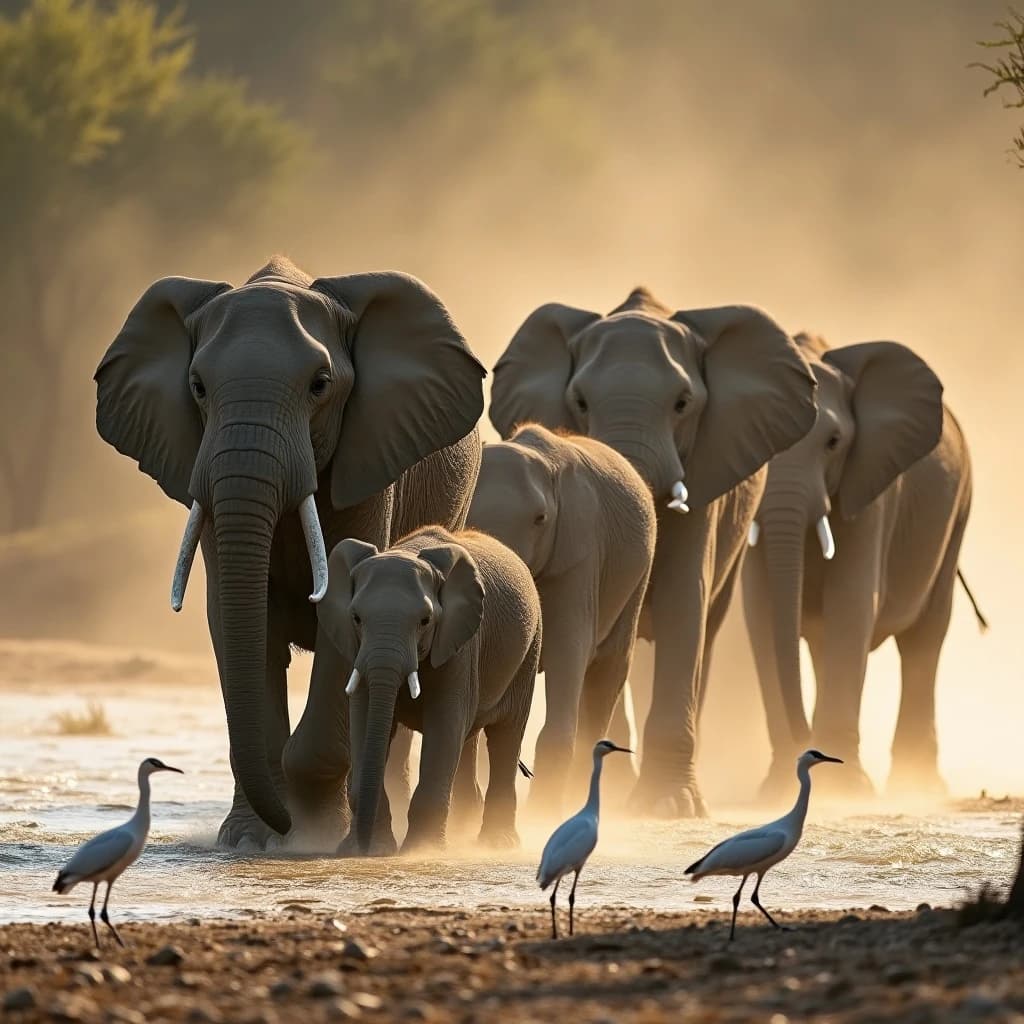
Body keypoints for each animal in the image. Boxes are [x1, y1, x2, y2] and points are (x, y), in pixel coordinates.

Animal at [95, 256, 485, 849]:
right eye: (197, 387)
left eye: (320, 386)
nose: (280, 824)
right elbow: (239, 622)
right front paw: (251, 841)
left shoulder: (371, 459)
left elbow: (339, 620)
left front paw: (315, 832)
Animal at [311, 526, 542, 854]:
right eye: (356, 618)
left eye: (425, 621)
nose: (362, 847)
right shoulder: (356, 650)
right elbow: (365, 717)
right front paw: (370, 850)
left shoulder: (461, 643)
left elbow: (444, 723)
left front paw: (421, 851)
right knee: (470, 737)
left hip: (529, 650)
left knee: (506, 736)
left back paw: (498, 843)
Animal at [466, 423, 656, 815]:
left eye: (540, 520)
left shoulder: (579, 552)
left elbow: (569, 655)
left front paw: (544, 813)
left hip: (636, 579)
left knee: (608, 670)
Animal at [489, 288, 817, 818]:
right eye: (579, 401)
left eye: (683, 403)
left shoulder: (707, 468)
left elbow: (685, 601)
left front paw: (669, 806)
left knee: (699, 630)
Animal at [743, 331, 984, 800]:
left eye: (834, 442)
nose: (805, 743)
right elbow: (760, 612)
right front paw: (776, 788)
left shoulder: (873, 490)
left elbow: (852, 603)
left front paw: (848, 790)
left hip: (959, 509)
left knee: (924, 638)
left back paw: (920, 788)